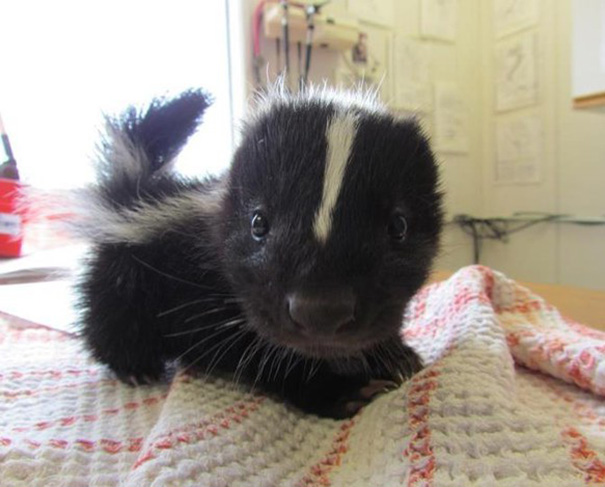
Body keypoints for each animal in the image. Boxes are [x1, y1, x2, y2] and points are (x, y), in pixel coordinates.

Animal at [78, 85, 442, 420]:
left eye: (398, 226)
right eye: (258, 223)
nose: (320, 311)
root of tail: (139, 192)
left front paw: (396, 356)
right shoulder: (216, 300)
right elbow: (259, 353)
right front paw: (341, 390)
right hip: (125, 277)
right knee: (111, 321)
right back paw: (135, 369)